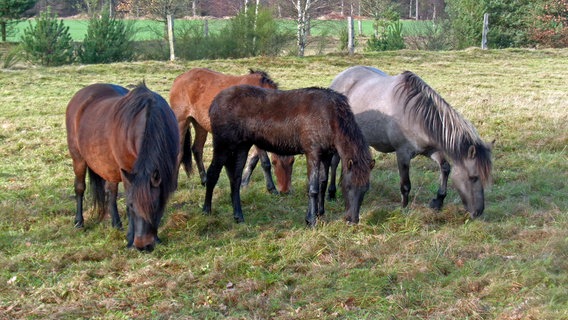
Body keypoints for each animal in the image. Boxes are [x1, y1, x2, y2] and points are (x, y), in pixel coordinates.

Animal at [65, 83, 179, 252]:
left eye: (156, 206)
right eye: (132, 205)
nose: (143, 245)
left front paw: (156, 238)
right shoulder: (127, 171)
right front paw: (130, 239)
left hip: (110, 168)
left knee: (111, 193)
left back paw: (116, 224)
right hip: (78, 159)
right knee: (80, 188)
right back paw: (79, 222)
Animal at [202, 84, 374, 225]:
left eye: (365, 189)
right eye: (348, 186)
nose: (352, 220)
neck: (329, 117)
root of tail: (215, 101)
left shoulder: (326, 156)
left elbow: (323, 183)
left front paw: (320, 213)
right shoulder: (312, 153)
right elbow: (313, 188)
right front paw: (311, 220)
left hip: (241, 147)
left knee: (235, 180)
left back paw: (238, 216)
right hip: (223, 146)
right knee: (212, 174)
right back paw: (206, 210)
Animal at [328, 66, 492, 219]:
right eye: (473, 177)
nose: (478, 212)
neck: (416, 114)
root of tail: (340, 77)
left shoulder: (431, 150)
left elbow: (445, 168)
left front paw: (438, 201)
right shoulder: (403, 154)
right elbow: (405, 184)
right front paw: (404, 208)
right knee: (334, 162)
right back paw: (331, 193)